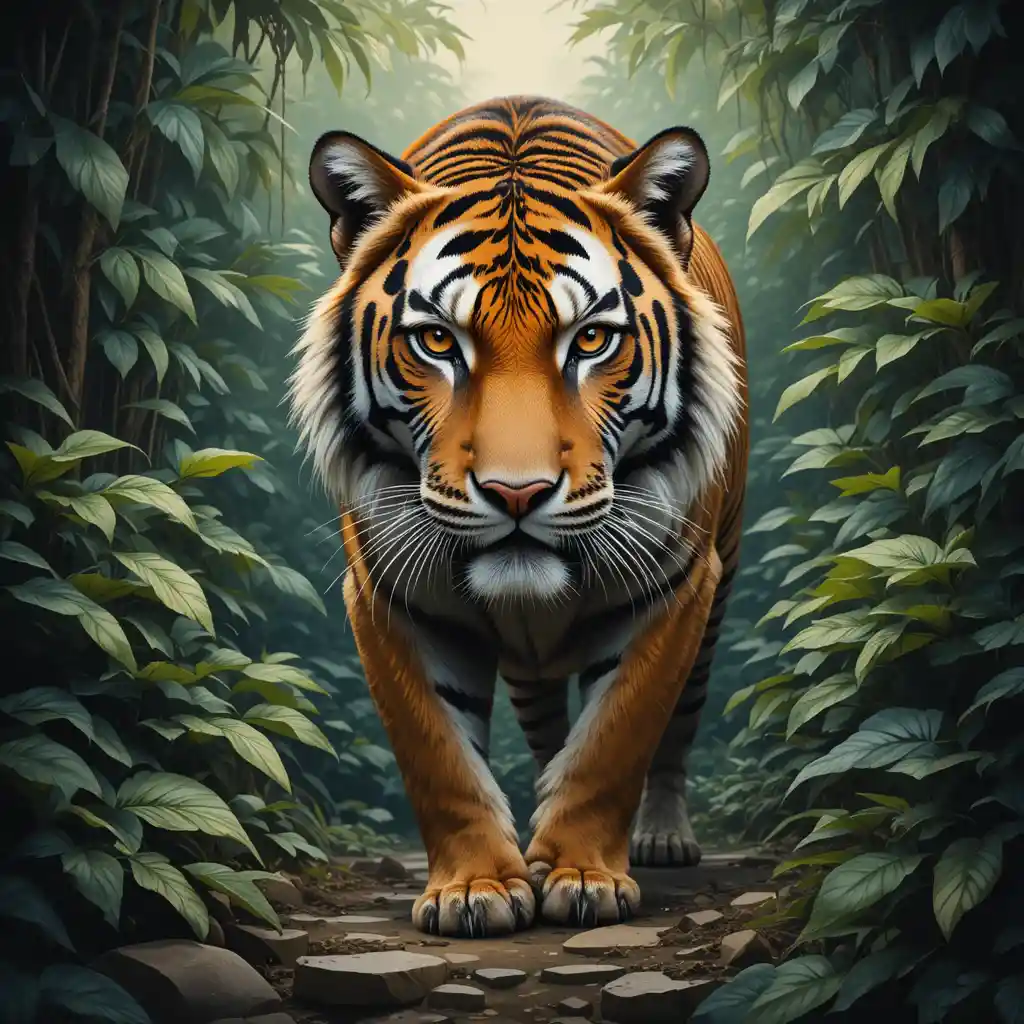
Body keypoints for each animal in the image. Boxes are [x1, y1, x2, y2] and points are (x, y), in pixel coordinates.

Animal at [289, 96, 748, 938]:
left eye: (591, 339)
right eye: (438, 341)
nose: (517, 493)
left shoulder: (674, 587)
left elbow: (617, 737)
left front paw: (583, 876)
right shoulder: (389, 594)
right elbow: (437, 753)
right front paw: (475, 888)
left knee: (678, 725)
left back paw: (662, 836)